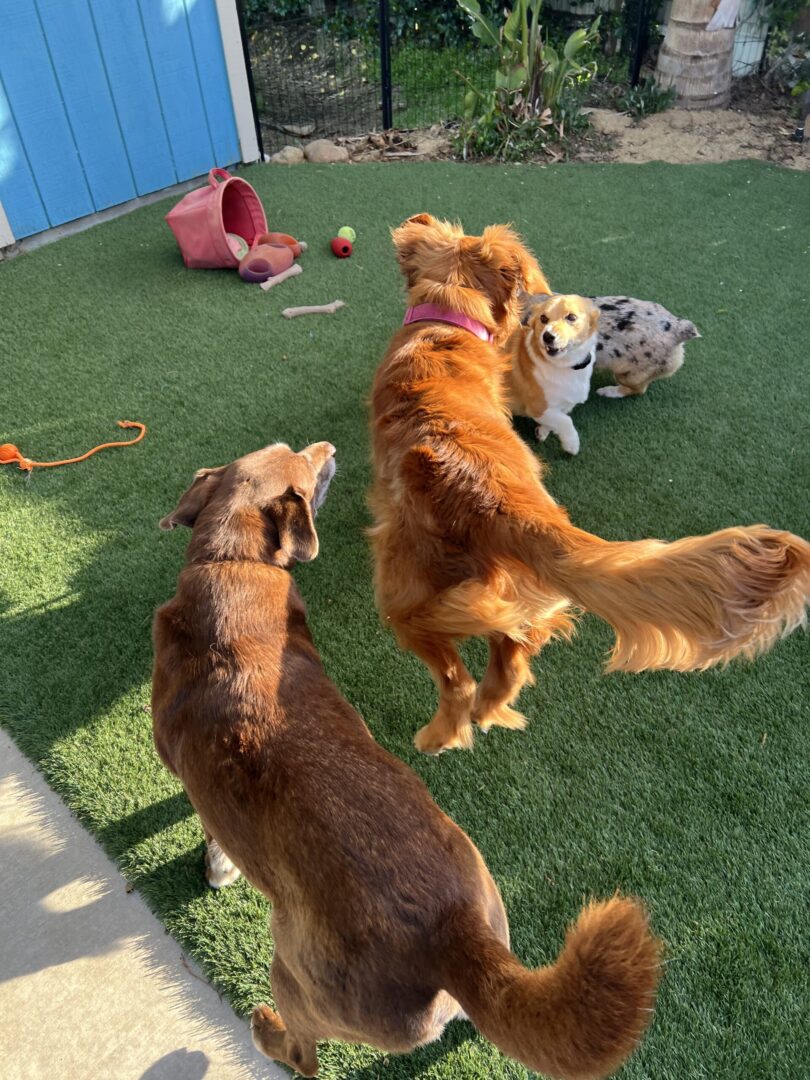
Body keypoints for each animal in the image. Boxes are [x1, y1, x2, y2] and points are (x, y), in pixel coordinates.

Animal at [155, 440, 660, 1080]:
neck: (231, 565)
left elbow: (206, 825)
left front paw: (216, 865)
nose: (328, 447)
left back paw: (267, 1030)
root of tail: (454, 935)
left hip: (293, 973)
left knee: (304, 1055)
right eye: (291, 456)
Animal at [507, 291, 604, 455]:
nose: (547, 336)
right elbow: (566, 421)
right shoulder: (538, 408)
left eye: (571, 317)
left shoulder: (562, 406)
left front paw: (543, 431)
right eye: (543, 318)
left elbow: (558, 419)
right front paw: (572, 444)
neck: (566, 367)